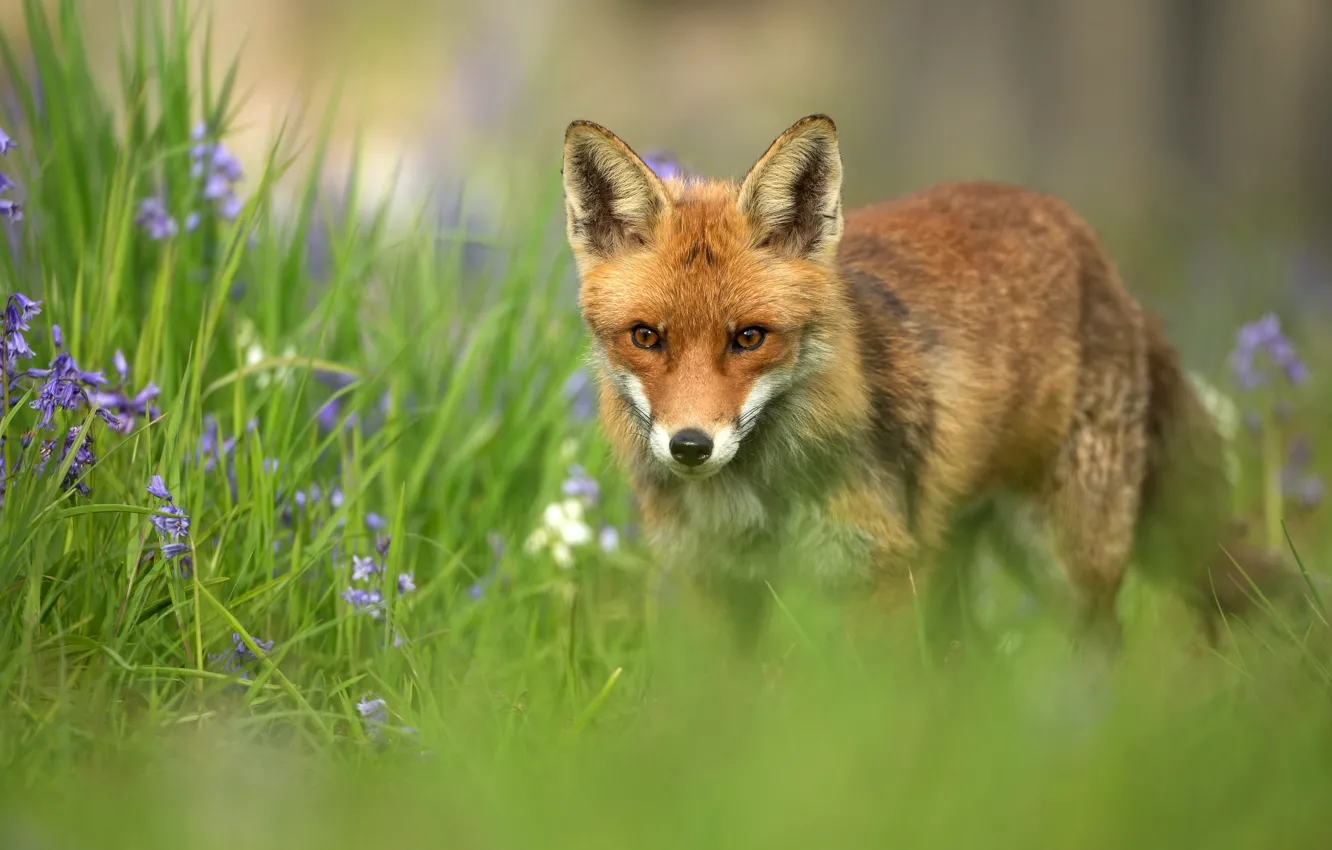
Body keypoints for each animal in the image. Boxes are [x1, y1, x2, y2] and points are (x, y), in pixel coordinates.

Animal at [560, 113, 1301, 658]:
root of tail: (1108, 267)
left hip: (1067, 562)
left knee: (1103, 648)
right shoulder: (710, 585)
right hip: (954, 559)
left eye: (749, 337)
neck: (758, 498)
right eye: (646, 337)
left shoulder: (879, 581)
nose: (690, 446)